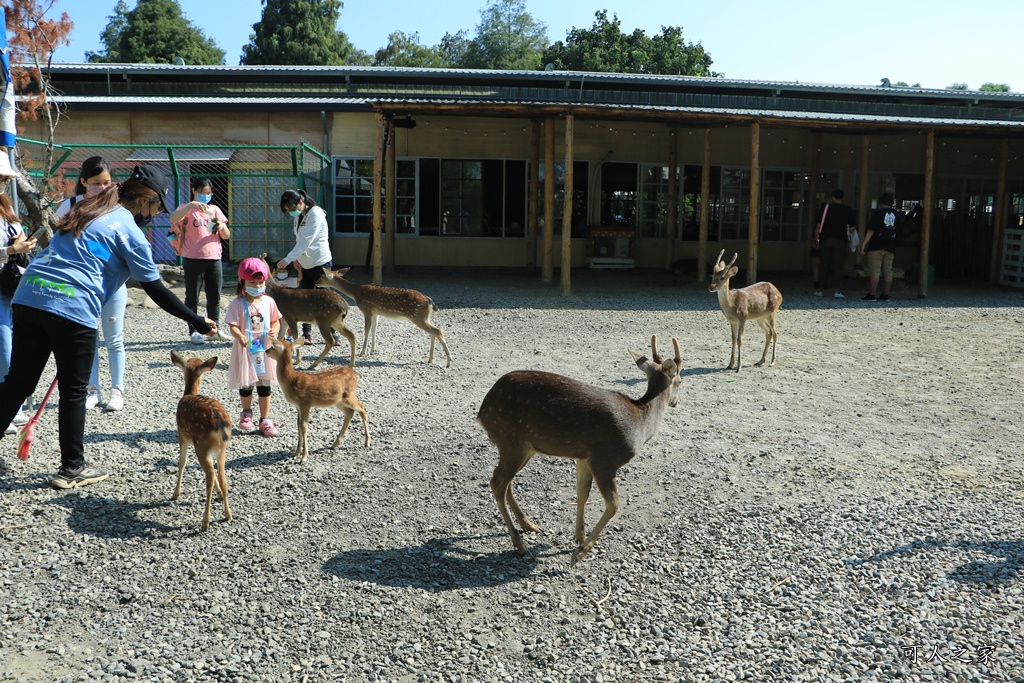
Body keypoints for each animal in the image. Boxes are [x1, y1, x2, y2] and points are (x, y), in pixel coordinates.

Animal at [168, 350, 231, 532]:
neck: (189, 393)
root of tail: (219, 425)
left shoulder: (182, 434)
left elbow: (182, 461)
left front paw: (175, 494)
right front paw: (219, 494)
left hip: (201, 444)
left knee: (210, 475)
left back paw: (205, 521)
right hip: (222, 448)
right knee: (221, 474)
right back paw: (228, 514)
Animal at [315, 270, 452, 368]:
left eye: (322, 276)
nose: (316, 282)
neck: (356, 292)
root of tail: (429, 301)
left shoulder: (367, 310)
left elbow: (366, 330)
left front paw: (362, 352)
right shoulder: (376, 313)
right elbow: (374, 330)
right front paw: (372, 350)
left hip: (418, 316)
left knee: (438, 331)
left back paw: (449, 361)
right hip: (424, 317)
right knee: (433, 332)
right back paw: (430, 359)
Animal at [477, 335, 679, 565]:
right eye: (679, 380)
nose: (677, 401)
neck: (640, 425)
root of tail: (482, 411)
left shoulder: (583, 458)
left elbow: (582, 493)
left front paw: (579, 537)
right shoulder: (605, 459)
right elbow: (614, 504)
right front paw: (581, 551)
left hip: (521, 447)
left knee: (505, 482)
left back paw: (528, 525)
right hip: (511, 441)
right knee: (497, 482)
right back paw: (520, 545)